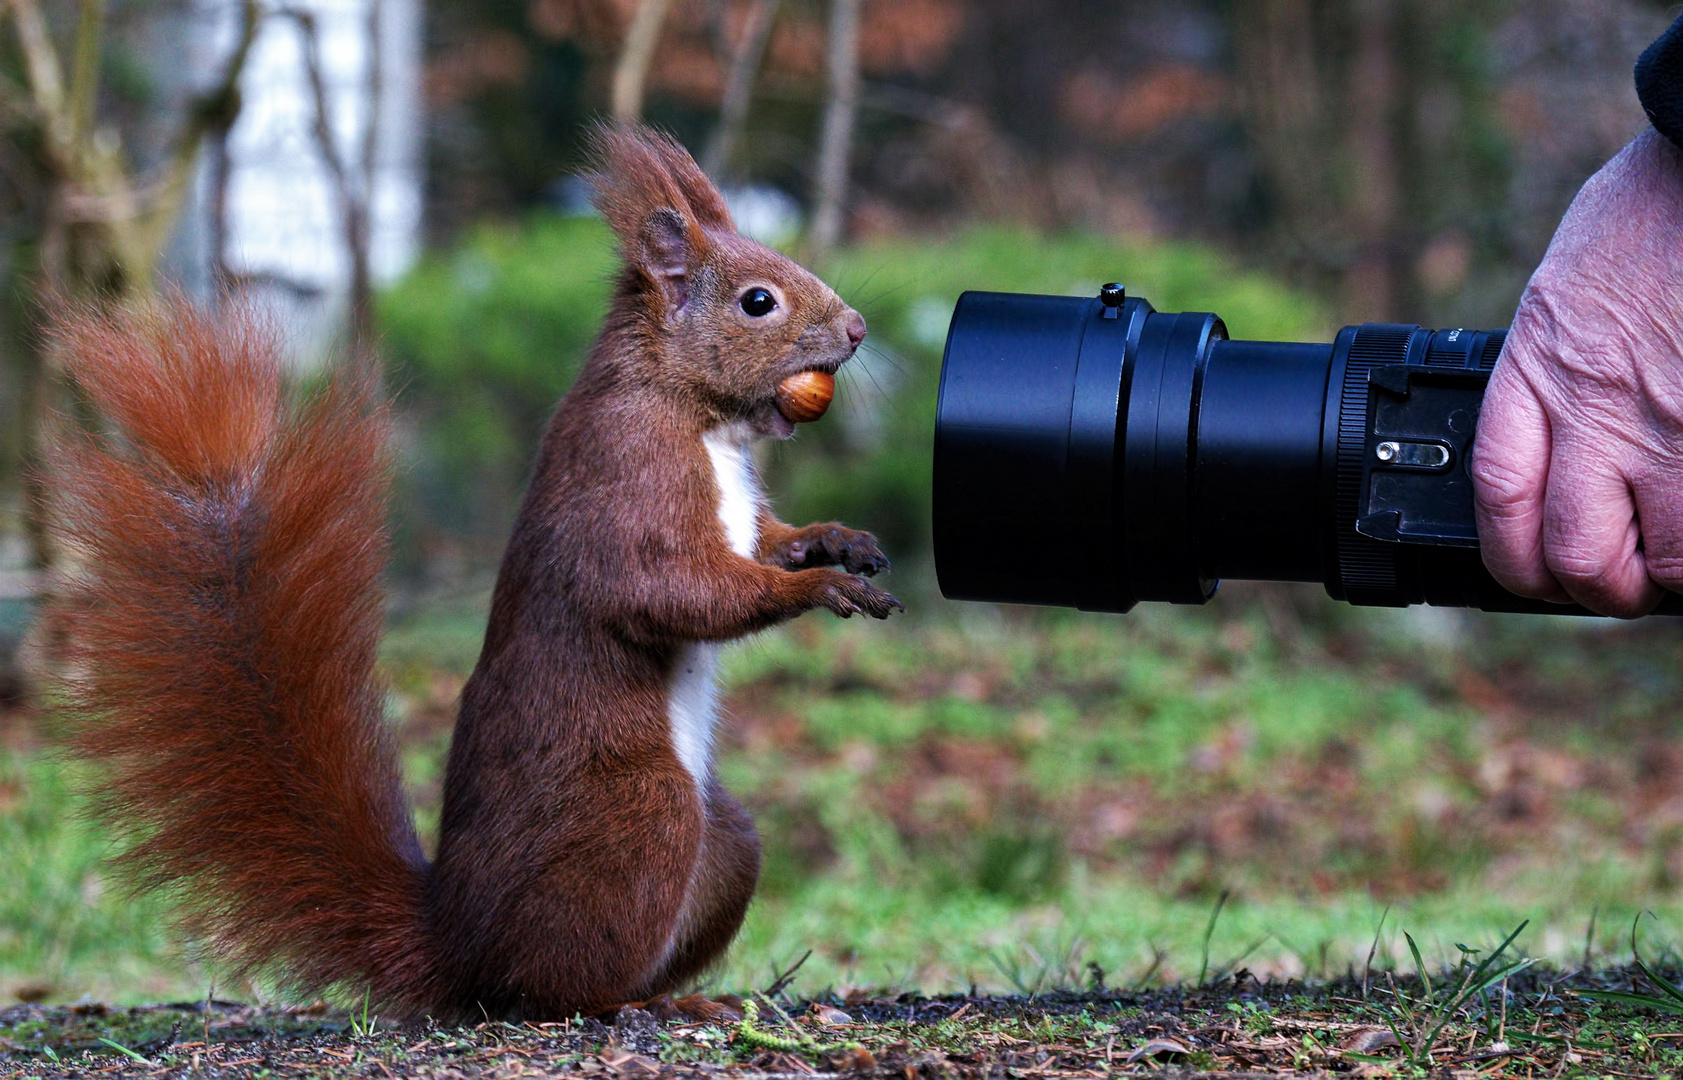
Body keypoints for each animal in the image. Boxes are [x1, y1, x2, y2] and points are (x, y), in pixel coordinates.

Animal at [46, 124, 902, 1016]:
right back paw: (647, 1003)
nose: (857, 328)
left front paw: (838, 541)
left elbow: (767, 540)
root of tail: (459, 944)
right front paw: (822, 586)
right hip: (645, 813)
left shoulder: (733, 514)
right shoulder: (630, 485)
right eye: (757, 302)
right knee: (557, 985)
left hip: (725, 835)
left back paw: (704, 997)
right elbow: (672, 592)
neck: (697, 417)